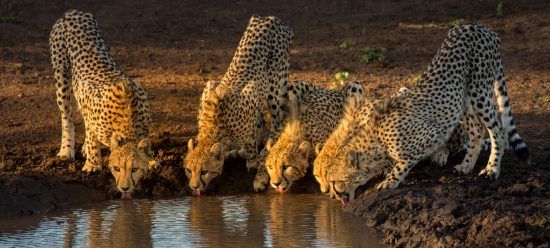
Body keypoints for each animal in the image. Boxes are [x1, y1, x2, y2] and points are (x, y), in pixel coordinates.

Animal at [49, 10, 160, 200]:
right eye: (116, 168)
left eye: (134, 169)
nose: (124, 188)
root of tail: (75, 12)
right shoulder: (91, 111)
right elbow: (92, 137)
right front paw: (93, 165)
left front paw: (152, 160)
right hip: (61, 75)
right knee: (67, 118)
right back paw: (66, 150)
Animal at [185, 16, 296, 197]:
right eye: (189, 170)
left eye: (204, 172)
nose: (194, 186)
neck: (214, 127)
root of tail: (271, 18)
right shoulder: (210, 86)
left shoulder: (252, 90)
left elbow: (251, 138)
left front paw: (252, 161)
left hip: (274, 88)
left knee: (277, 120)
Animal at [320, 22, 532, 202]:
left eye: (335, 181)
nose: (333, 196)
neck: (376, 137)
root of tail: (480, 27)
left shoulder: (431, 135)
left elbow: (403, 162)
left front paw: (390, 181)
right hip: (463, 99)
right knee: (476, 130)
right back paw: (467, 165)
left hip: (479, 91)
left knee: (498, 131)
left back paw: (491, 169)